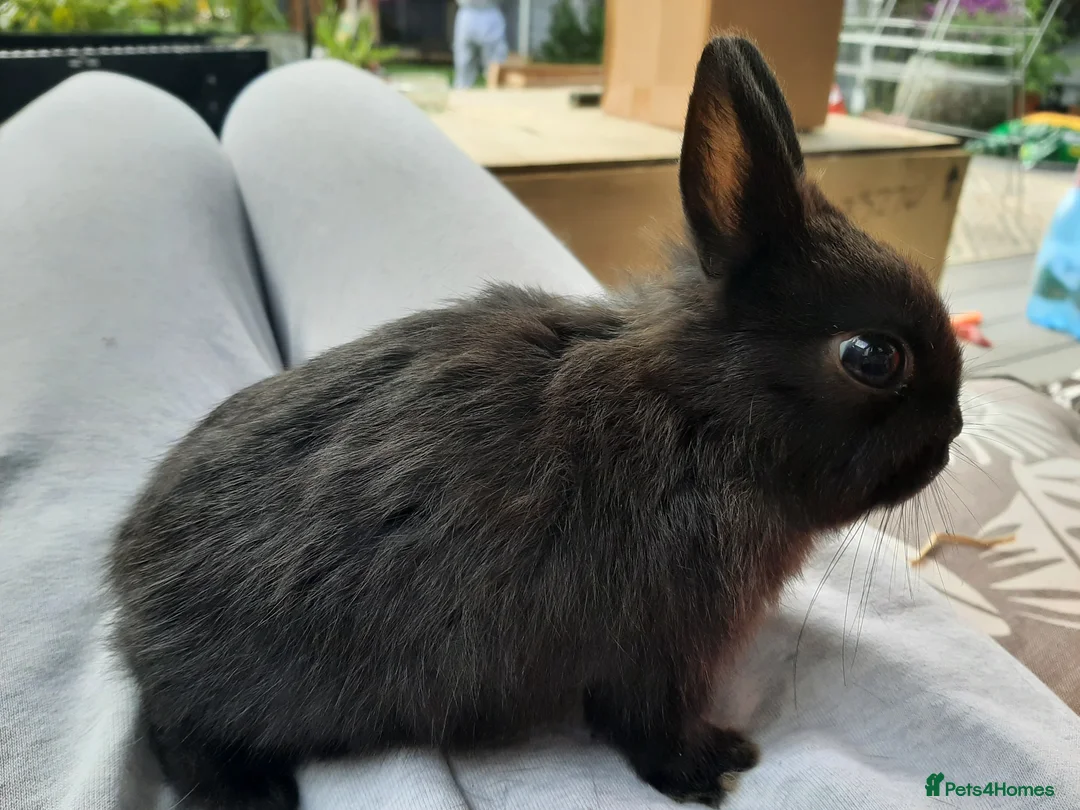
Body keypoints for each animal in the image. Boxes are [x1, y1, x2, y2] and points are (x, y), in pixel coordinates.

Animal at [108, 36, 963, 810]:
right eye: (871, 356)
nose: (952, 434)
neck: (700, 417)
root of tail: (128, 593)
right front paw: (713, 767)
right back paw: (251, 792)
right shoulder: (661, 644)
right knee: (175, 733)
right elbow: (646, 727)